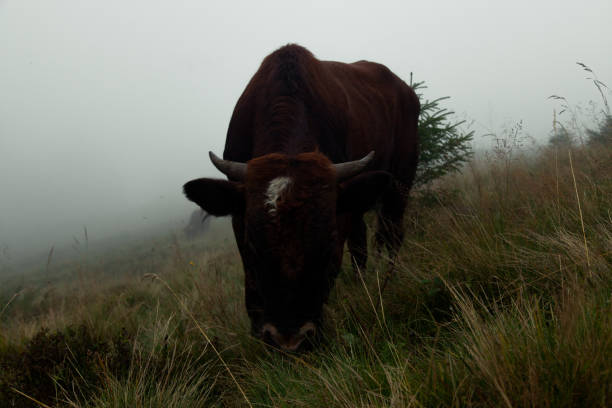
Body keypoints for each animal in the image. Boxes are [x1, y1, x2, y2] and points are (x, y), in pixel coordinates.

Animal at [184, 43, 418, 350]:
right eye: (253, 245)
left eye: (329, 246)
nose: (289, 339)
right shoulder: (238, 214)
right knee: (361, 242)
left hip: (400, 182)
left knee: (392, 233)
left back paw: (388, 279)